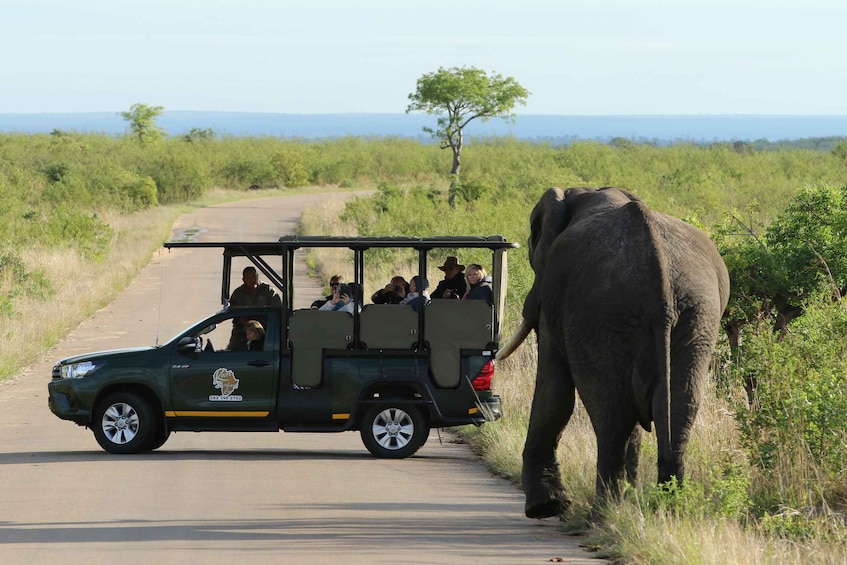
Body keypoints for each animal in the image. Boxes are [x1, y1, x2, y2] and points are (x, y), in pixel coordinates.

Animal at [500, 187, 732, 516]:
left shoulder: (554, 299)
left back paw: (604, 514)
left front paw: (546, 507)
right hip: (696, 316)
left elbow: (553, 392)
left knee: (611, 414)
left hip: (601, 316)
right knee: (677, 408)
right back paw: (665, 507)